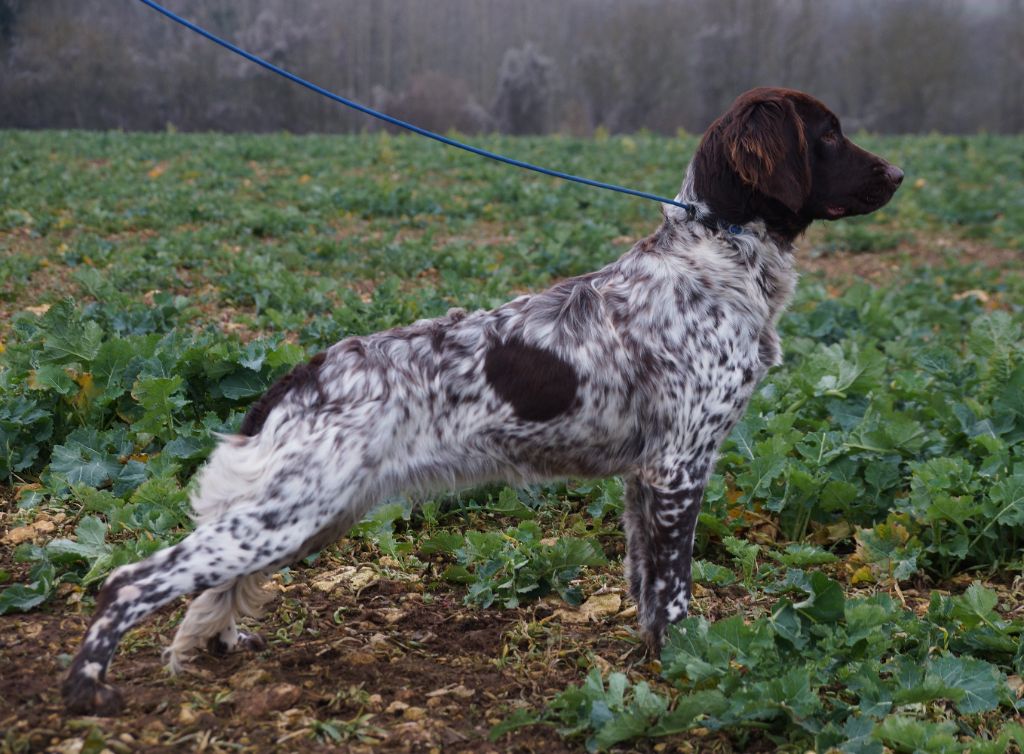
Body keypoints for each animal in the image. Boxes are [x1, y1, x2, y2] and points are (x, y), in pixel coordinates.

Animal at [64, 88, 905, 713]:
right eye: (828, 136)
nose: (899, 173)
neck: (716, 258)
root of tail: (298, 376)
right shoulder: (678, 467)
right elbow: (673, 594)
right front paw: (691, 668)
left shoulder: (647, 477)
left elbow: (644, 585)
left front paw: (655, 664)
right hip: (291, 512)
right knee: (130, 580)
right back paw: (87, 691)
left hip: (305, 517)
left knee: (207, 585)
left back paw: (221, 646)